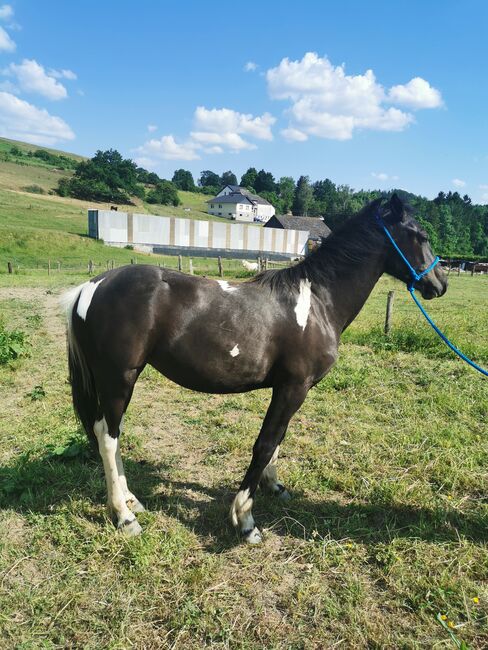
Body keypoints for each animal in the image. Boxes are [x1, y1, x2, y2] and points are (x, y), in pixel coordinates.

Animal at [60, 194, 446, 540]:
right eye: (421, 236)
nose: (440, 283)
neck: (316, 301)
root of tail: (93, 286)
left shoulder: (287, 389)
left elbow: (277, 441)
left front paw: (274, 486)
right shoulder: (294, 387)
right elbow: (265, 443)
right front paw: (245, 519)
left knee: (111, 433)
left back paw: (131, 500)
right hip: (118, 379)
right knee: (107, 435)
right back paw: (124, 517)